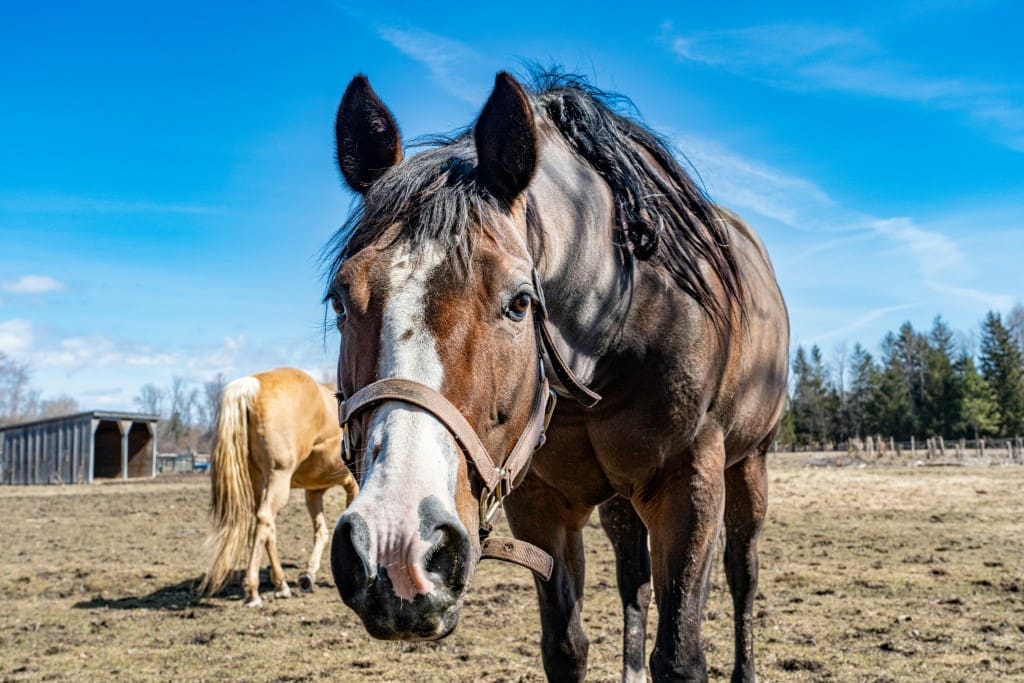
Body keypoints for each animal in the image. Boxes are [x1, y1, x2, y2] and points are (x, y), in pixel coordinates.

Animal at [199, 367, 359, 607]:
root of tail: (252, 385)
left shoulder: (313, 492)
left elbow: (321, 531)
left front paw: (308, 576)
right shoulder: (352, 486)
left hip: (261, 481)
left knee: (267, 526)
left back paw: (281, 585)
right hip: (278, 477)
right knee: (264, 520)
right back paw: (253, 591)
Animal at [325, 70, 788, 682]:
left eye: (520, 302)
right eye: (339, 299)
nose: (396, 545)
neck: (623, 319)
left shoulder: (689, 483)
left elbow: (681, 656)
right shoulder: (541, 503)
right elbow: (567, 646)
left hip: (750, 462)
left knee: (743, 575)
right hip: (620, 500)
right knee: (635, 583)